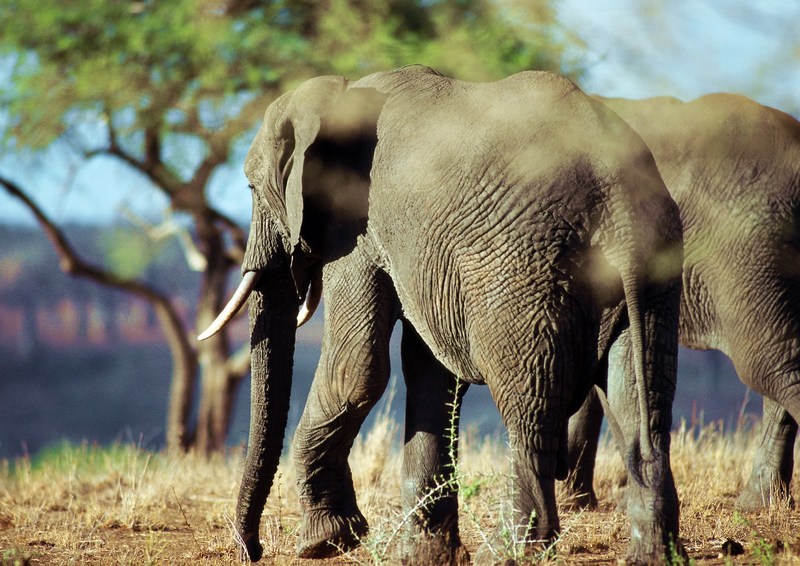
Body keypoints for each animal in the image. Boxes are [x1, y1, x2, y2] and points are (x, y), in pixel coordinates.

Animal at [198, 66, 680, 564]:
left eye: (252, 188)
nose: (252, 549)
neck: (340, 92)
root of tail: (618, 198)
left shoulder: (356, 225)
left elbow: (358, 369)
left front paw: (324, 543)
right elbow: (430, 370)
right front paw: (422, 556)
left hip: (523, 272)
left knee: (528, 407)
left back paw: (511, 551)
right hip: (653, 270)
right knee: (640, 405)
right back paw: (652, 553)